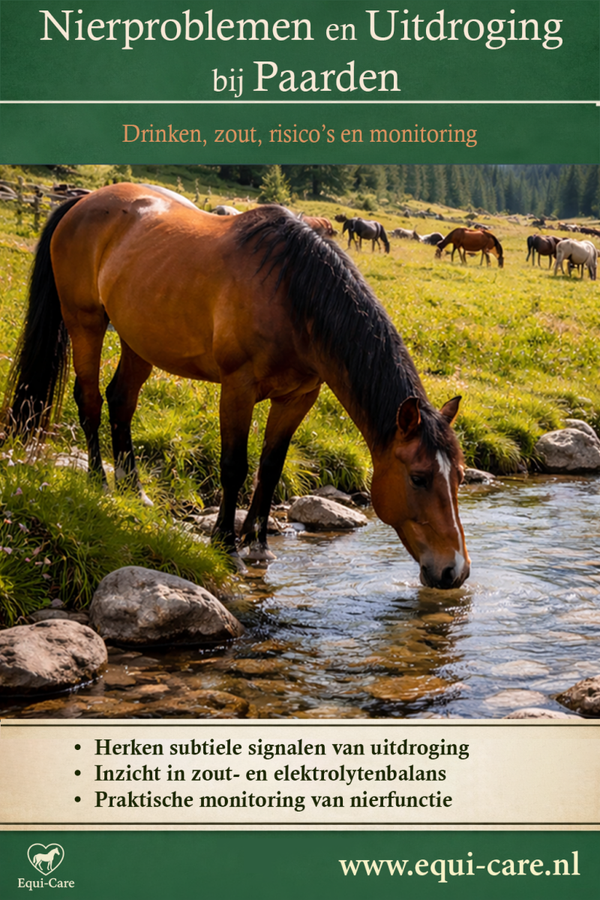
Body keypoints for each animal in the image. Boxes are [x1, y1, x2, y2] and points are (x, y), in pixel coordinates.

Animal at [3, 184, 470, 589]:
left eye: (460, 477)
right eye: (419, 478)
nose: (455, 571)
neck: (292, 295)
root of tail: (83, 201)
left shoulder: (298, 398)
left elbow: (271, 467)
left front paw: (258, 542)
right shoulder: (237, 387)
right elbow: (234, 466)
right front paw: (226, 545)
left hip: (139, 340)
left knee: (121, 401)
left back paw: (135, 490)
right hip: (85, 322)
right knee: (90, 401)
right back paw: (100, 483)